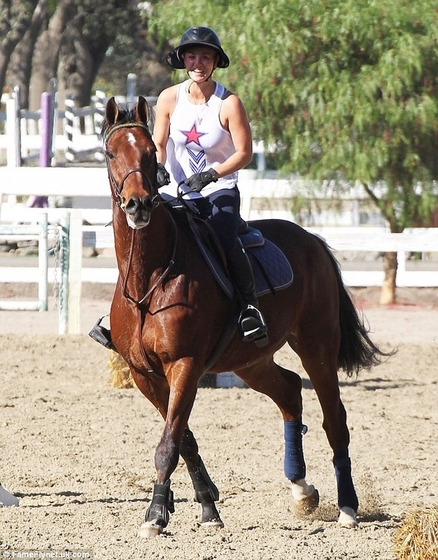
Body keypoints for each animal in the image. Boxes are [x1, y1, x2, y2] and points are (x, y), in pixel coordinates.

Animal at [102, 97, 386, 540]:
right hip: (251, 362)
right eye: (112, 153)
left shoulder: (184, 365)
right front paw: (206, 506)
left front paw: (155, 515)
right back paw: (302, 490)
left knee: (334, 419)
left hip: (317, 346)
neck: (149, 276)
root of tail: (312, 241)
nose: (139, 205)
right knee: (289, 392)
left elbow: (168, 443)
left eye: (150, 154)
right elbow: (183, 438)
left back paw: (348, 507)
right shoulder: (144, 374)